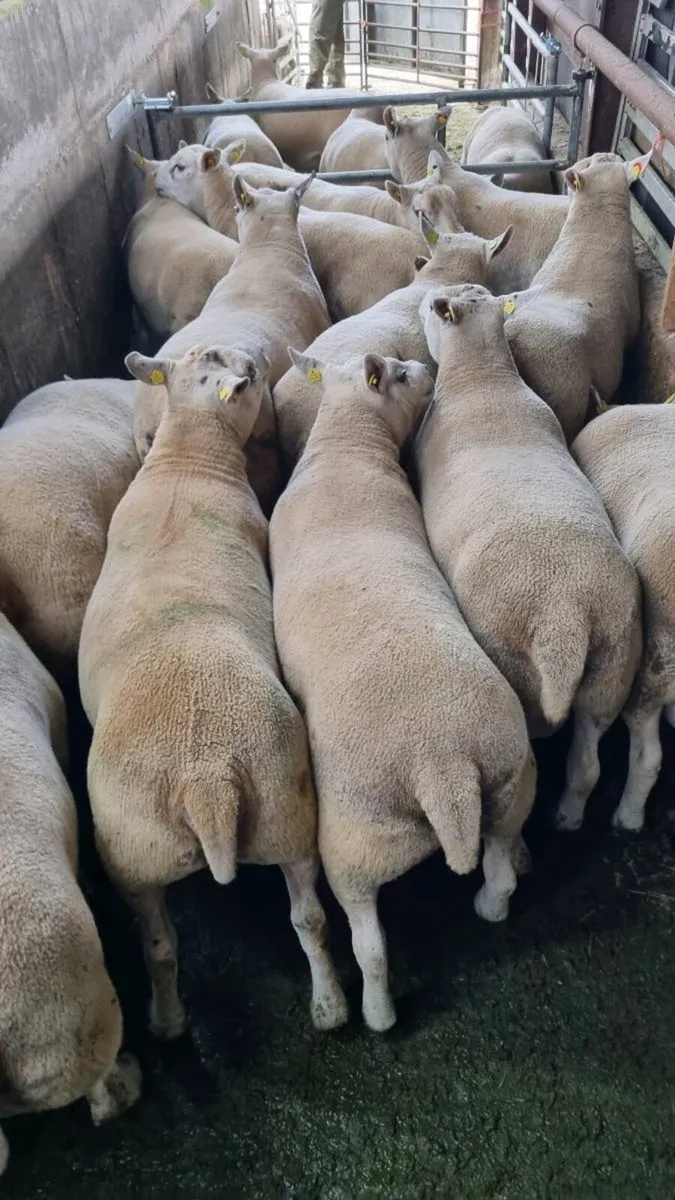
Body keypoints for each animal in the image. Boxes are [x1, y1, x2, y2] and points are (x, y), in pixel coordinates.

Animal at [79, 345, 348, 1039]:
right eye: (235, 371)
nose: (258, 356)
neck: (186, 461)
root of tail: (207, 781)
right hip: (279, 808)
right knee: (306, 919)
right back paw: (330, 1006)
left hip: (147, 850)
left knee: (164, 942)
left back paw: (172, 1020)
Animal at [269, 349, 535, 1031]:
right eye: (402, 375)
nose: (425, 366)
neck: (345, 449)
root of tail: (443, 766)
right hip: (509, 782)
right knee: (500, 868)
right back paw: (492, 904)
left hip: (356, 849)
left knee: (371, 944)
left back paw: (377, 1012)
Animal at [417, 284, 642, 832]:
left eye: (434, 305)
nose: (419, 301)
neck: (482, 379)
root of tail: (565, 614)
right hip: (612, 669)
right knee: (587, 761)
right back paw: (568, 816)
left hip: (516, 665)